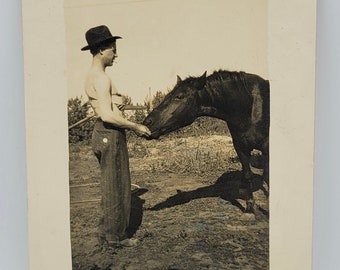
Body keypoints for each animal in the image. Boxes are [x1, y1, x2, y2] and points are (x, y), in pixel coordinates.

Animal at [142, 70, 270, 213]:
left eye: (179, 96)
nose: (147, 122)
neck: (249, 107)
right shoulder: (241, 148)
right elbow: (248, 175)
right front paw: (250, 205)